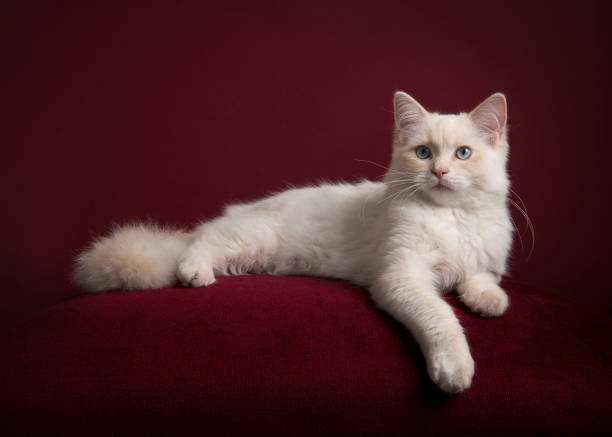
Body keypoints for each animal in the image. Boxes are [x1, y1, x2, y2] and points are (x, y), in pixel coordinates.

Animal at [73, 92, 512, 392]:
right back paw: (194, 273)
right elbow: (441, 317)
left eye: (463, 154)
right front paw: (454, 370)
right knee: (197, 247)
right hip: (252, 239)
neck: (450, 217)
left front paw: (489, 302)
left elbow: (479, 278)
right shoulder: (401, 276)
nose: (438, 172)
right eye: (422, 153)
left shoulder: (481, 260)